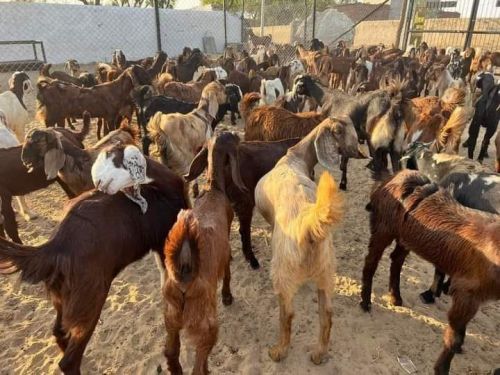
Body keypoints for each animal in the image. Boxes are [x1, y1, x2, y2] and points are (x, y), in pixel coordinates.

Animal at [0, 145, 188, 374]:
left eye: (113, 158)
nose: (97, 183)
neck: (159, 189)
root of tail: (55, 247)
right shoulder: (164, 241)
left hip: (64, 299)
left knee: (58, 331)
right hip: (89, 300)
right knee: (69, 359)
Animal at [161, 134, 237, 374]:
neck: (213, 189)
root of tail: (184, 271)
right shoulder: (226, 247)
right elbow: (228, 270)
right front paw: (227, 296)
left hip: (171, 319)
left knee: (171, 352)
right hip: (206, 325)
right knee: (198, 363)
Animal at [256, 117, 362, 364]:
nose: (360, 153)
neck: (295, 158)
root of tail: (310, 224)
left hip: (282, 272)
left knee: (287, 314)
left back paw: (278, 351)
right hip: (326, 272)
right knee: (327, 314)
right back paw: (319, 354)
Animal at [362, 170, 498, 375]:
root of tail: (393, 177)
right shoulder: (467, 293)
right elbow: (454, 336)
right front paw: (442, 368)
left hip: (406, 237)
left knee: (396, 259)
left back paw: (395, 297)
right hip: (383, 227)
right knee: (371, 261)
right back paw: (365, 302)